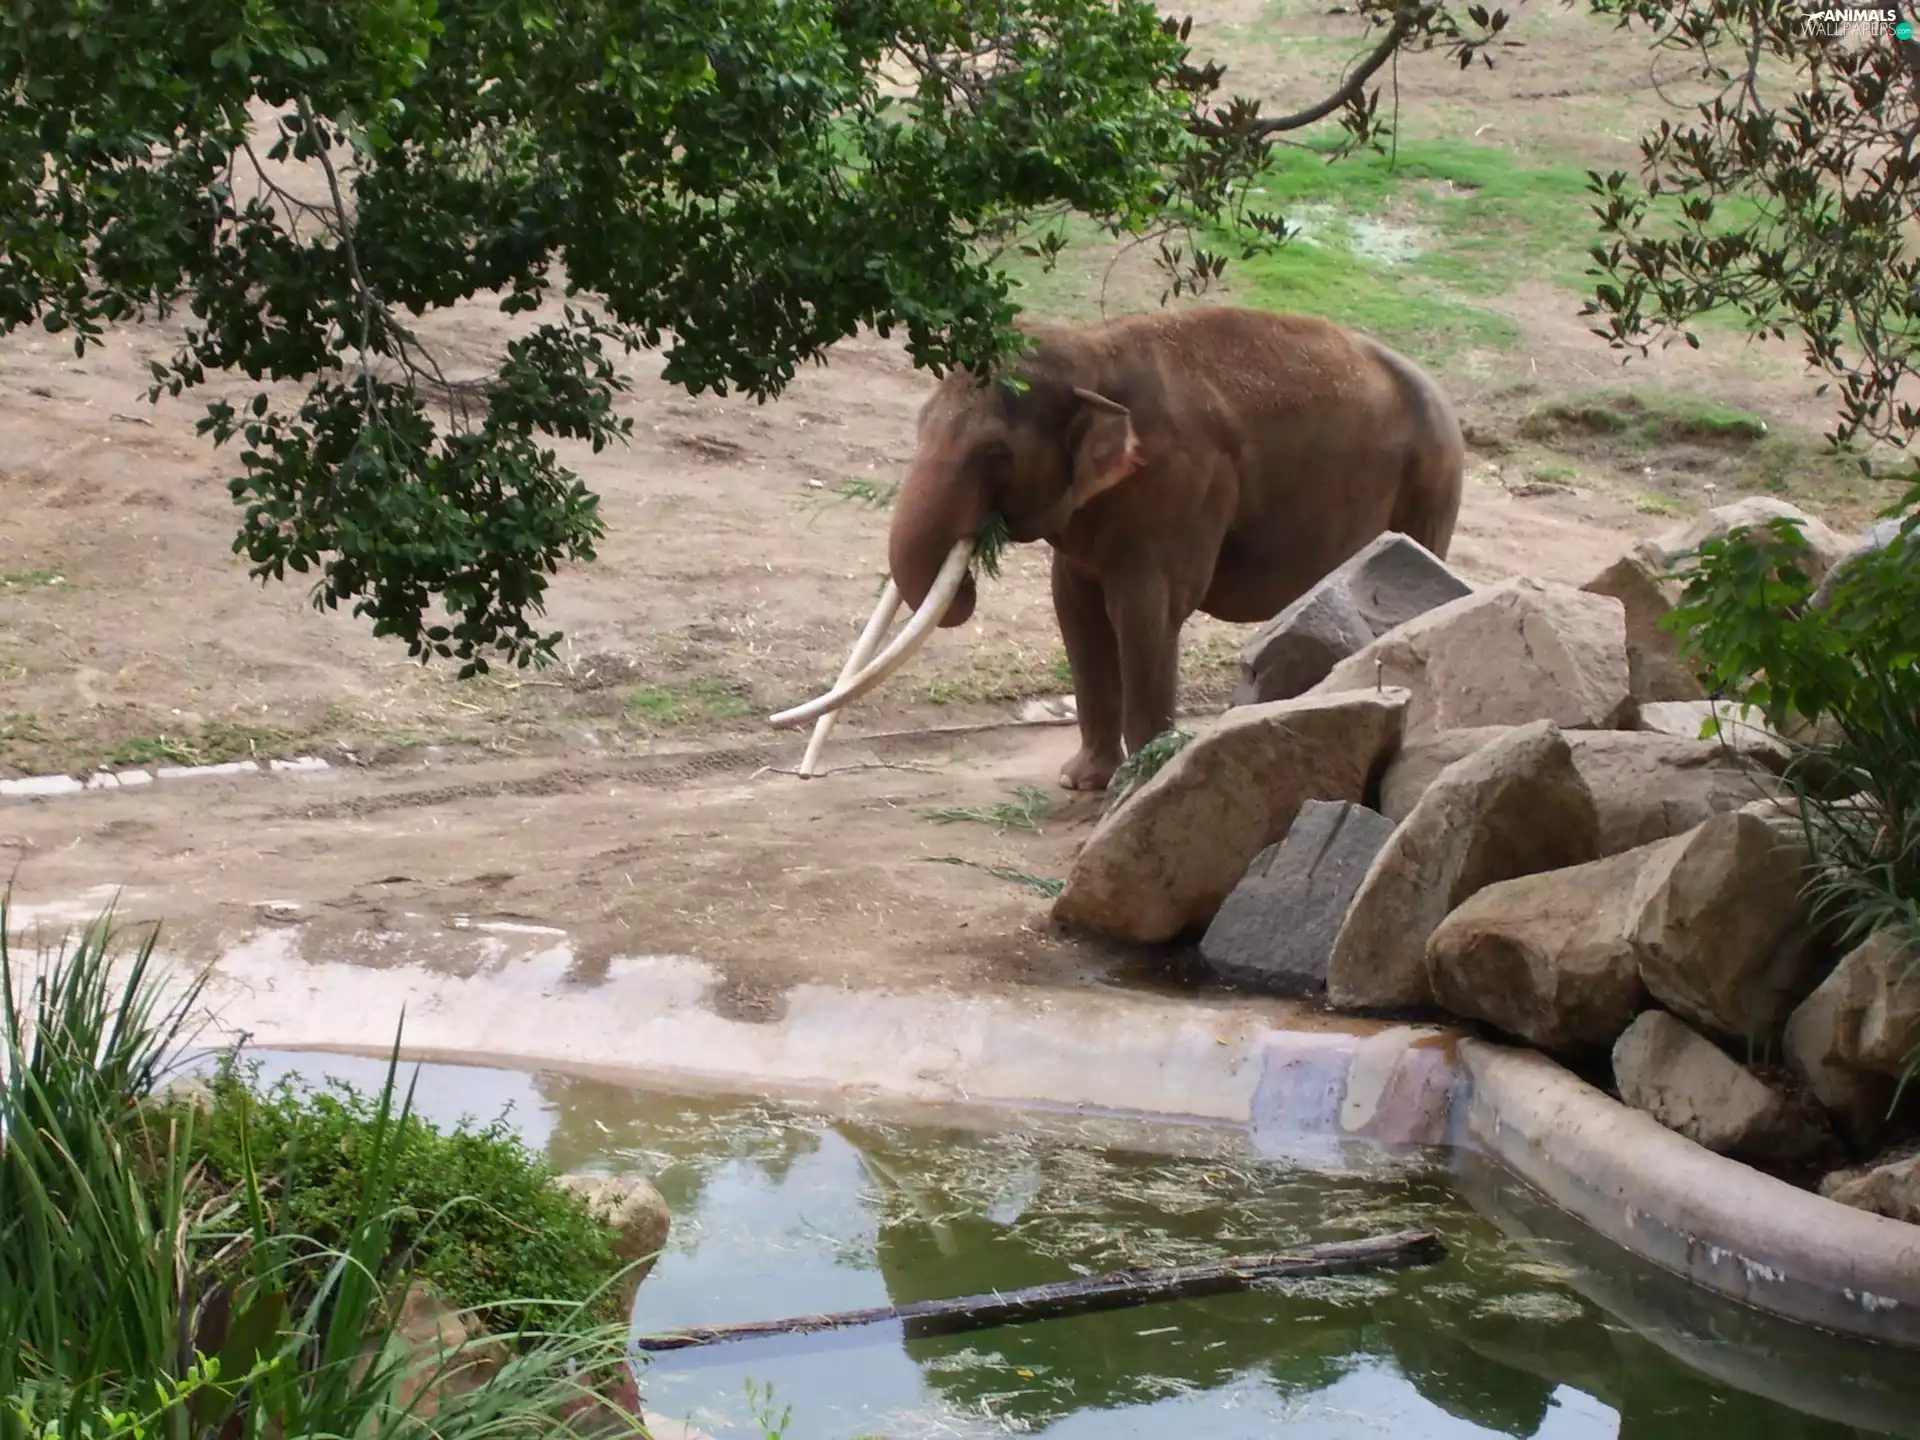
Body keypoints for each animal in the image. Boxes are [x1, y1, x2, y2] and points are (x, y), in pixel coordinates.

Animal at [770, 305, 1466, 791]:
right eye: (917, 428)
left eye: (994, 454)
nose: (805, 773)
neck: (1091, 352)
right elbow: (1074, 607)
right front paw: (1082, 781)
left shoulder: (1180, 485)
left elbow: (1145, 612)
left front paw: (1142, 778)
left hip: (1433, 483)